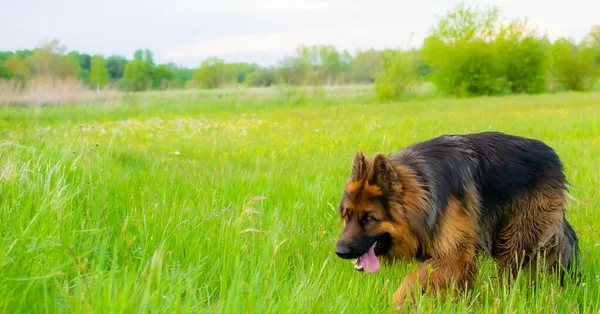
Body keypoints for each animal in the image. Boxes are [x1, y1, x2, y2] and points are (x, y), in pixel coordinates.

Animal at [336, 131, 580, 310]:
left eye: (369, 218)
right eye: (346, 215)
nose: (340, 252)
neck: (424, 189)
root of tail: (552, 155)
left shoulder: (456, 254)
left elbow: (413, 279)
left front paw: (397, 303)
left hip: (516, 240)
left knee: (514, 271)